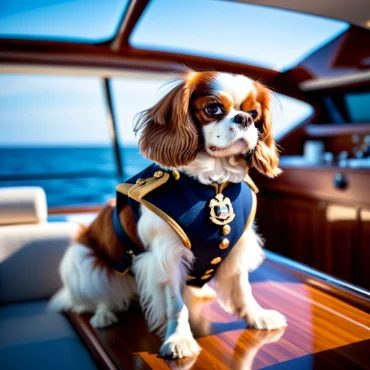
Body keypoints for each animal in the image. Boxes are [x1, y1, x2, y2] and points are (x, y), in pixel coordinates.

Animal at [49, 70, 286, 358]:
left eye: (253, 114)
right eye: (213, 109)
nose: (244, 119)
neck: (213, 184)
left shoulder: (237, 246)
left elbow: (243, 289)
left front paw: (258, 317)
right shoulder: (167, 256)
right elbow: (176, 305)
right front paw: (179, 339)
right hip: (83, 260)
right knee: (102, 292)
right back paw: (104, 316)